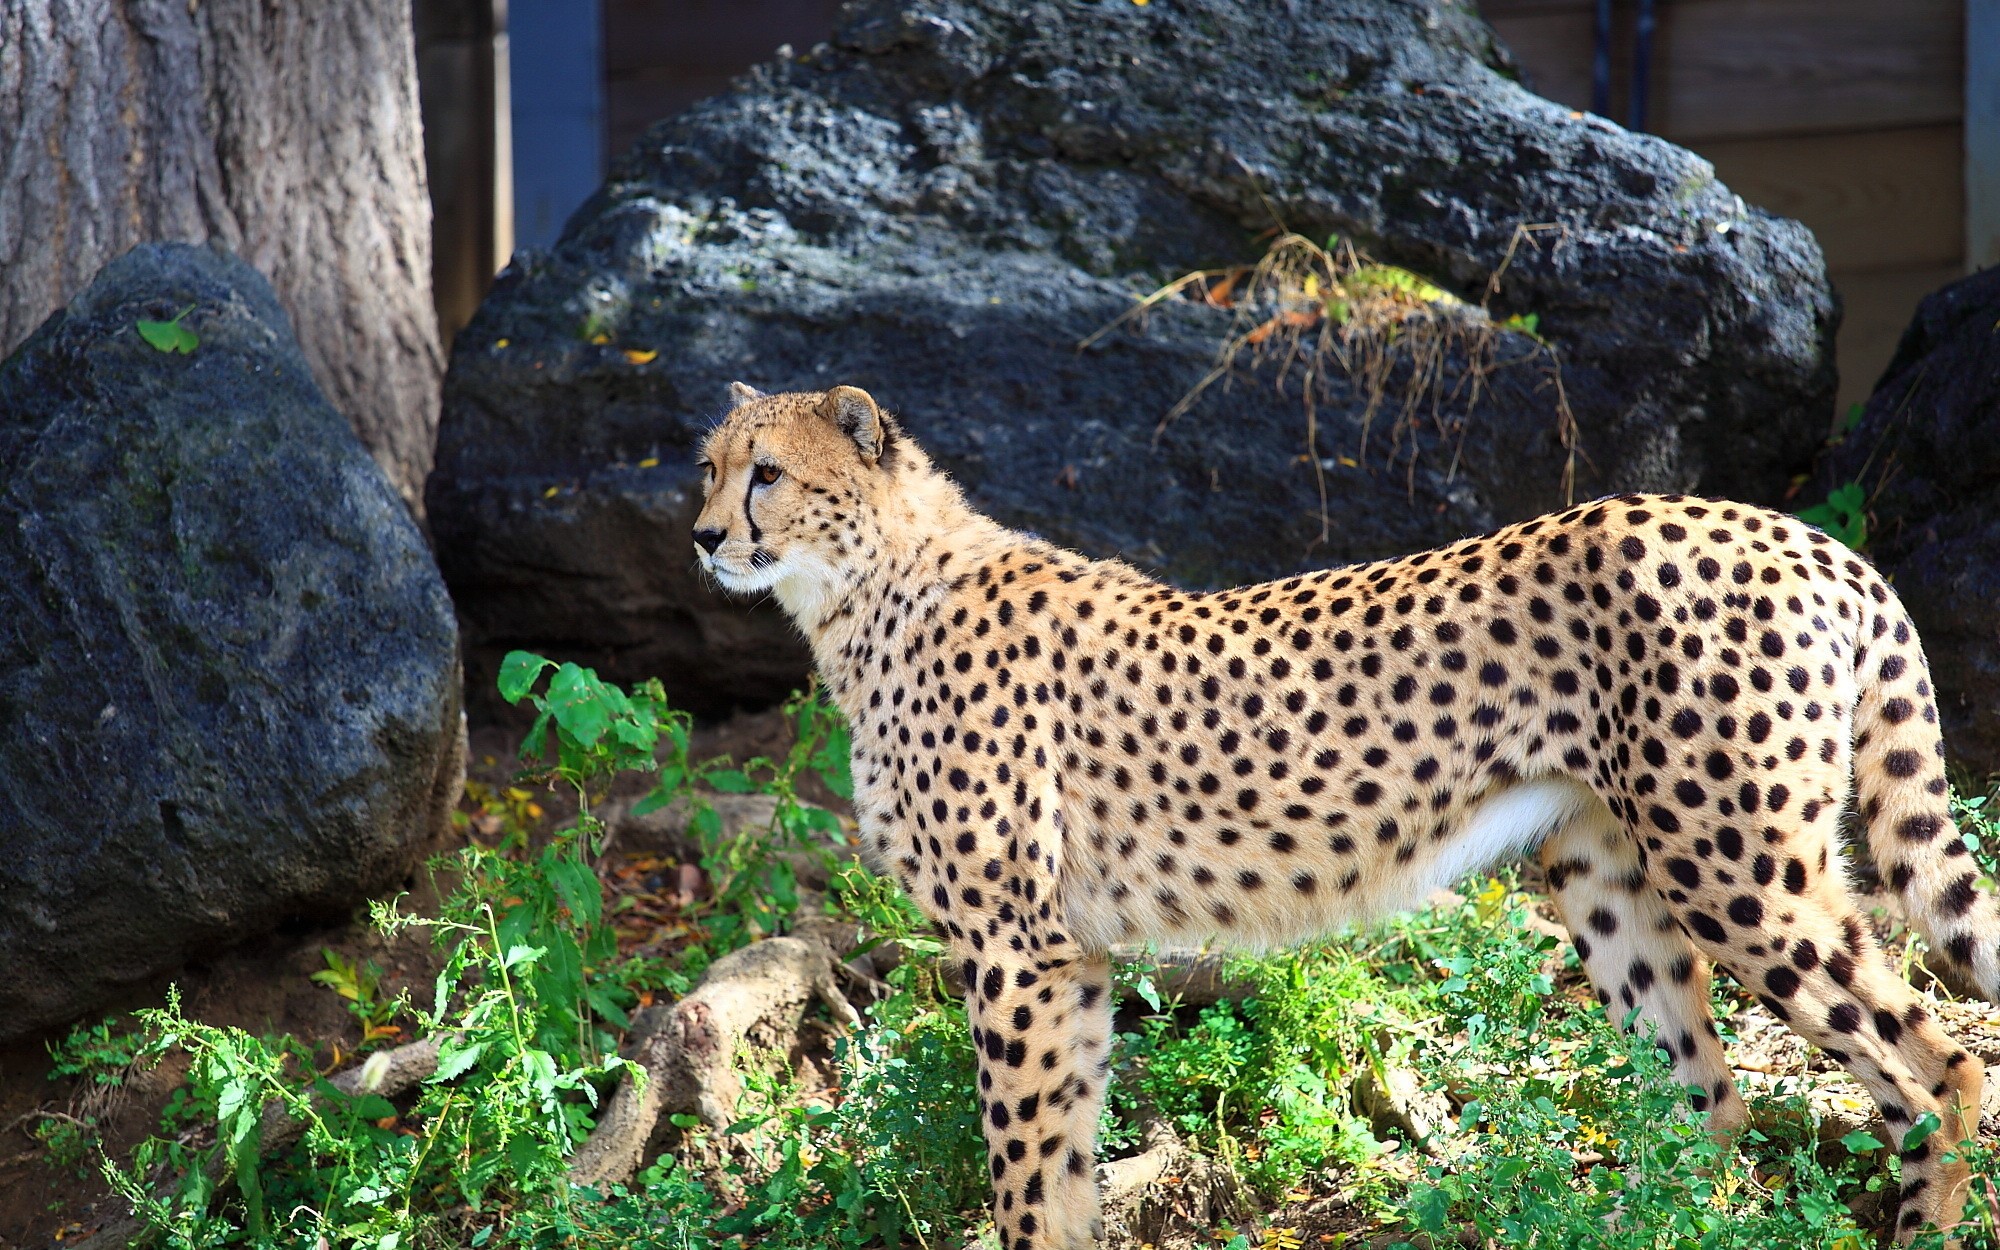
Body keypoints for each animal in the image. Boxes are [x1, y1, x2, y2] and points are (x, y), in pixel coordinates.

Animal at [691, 382, 1997, 1248]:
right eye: (705, 465)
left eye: (767, 472)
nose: (702, 537)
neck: (865, 591)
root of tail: (1798, 532)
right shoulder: (1071, 954)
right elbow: (1061, 1155)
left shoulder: (1013, 948)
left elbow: (1020, 1159)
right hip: (1603, 870)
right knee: (1708, 1104)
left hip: (1737, 865)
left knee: (1933, 1060)